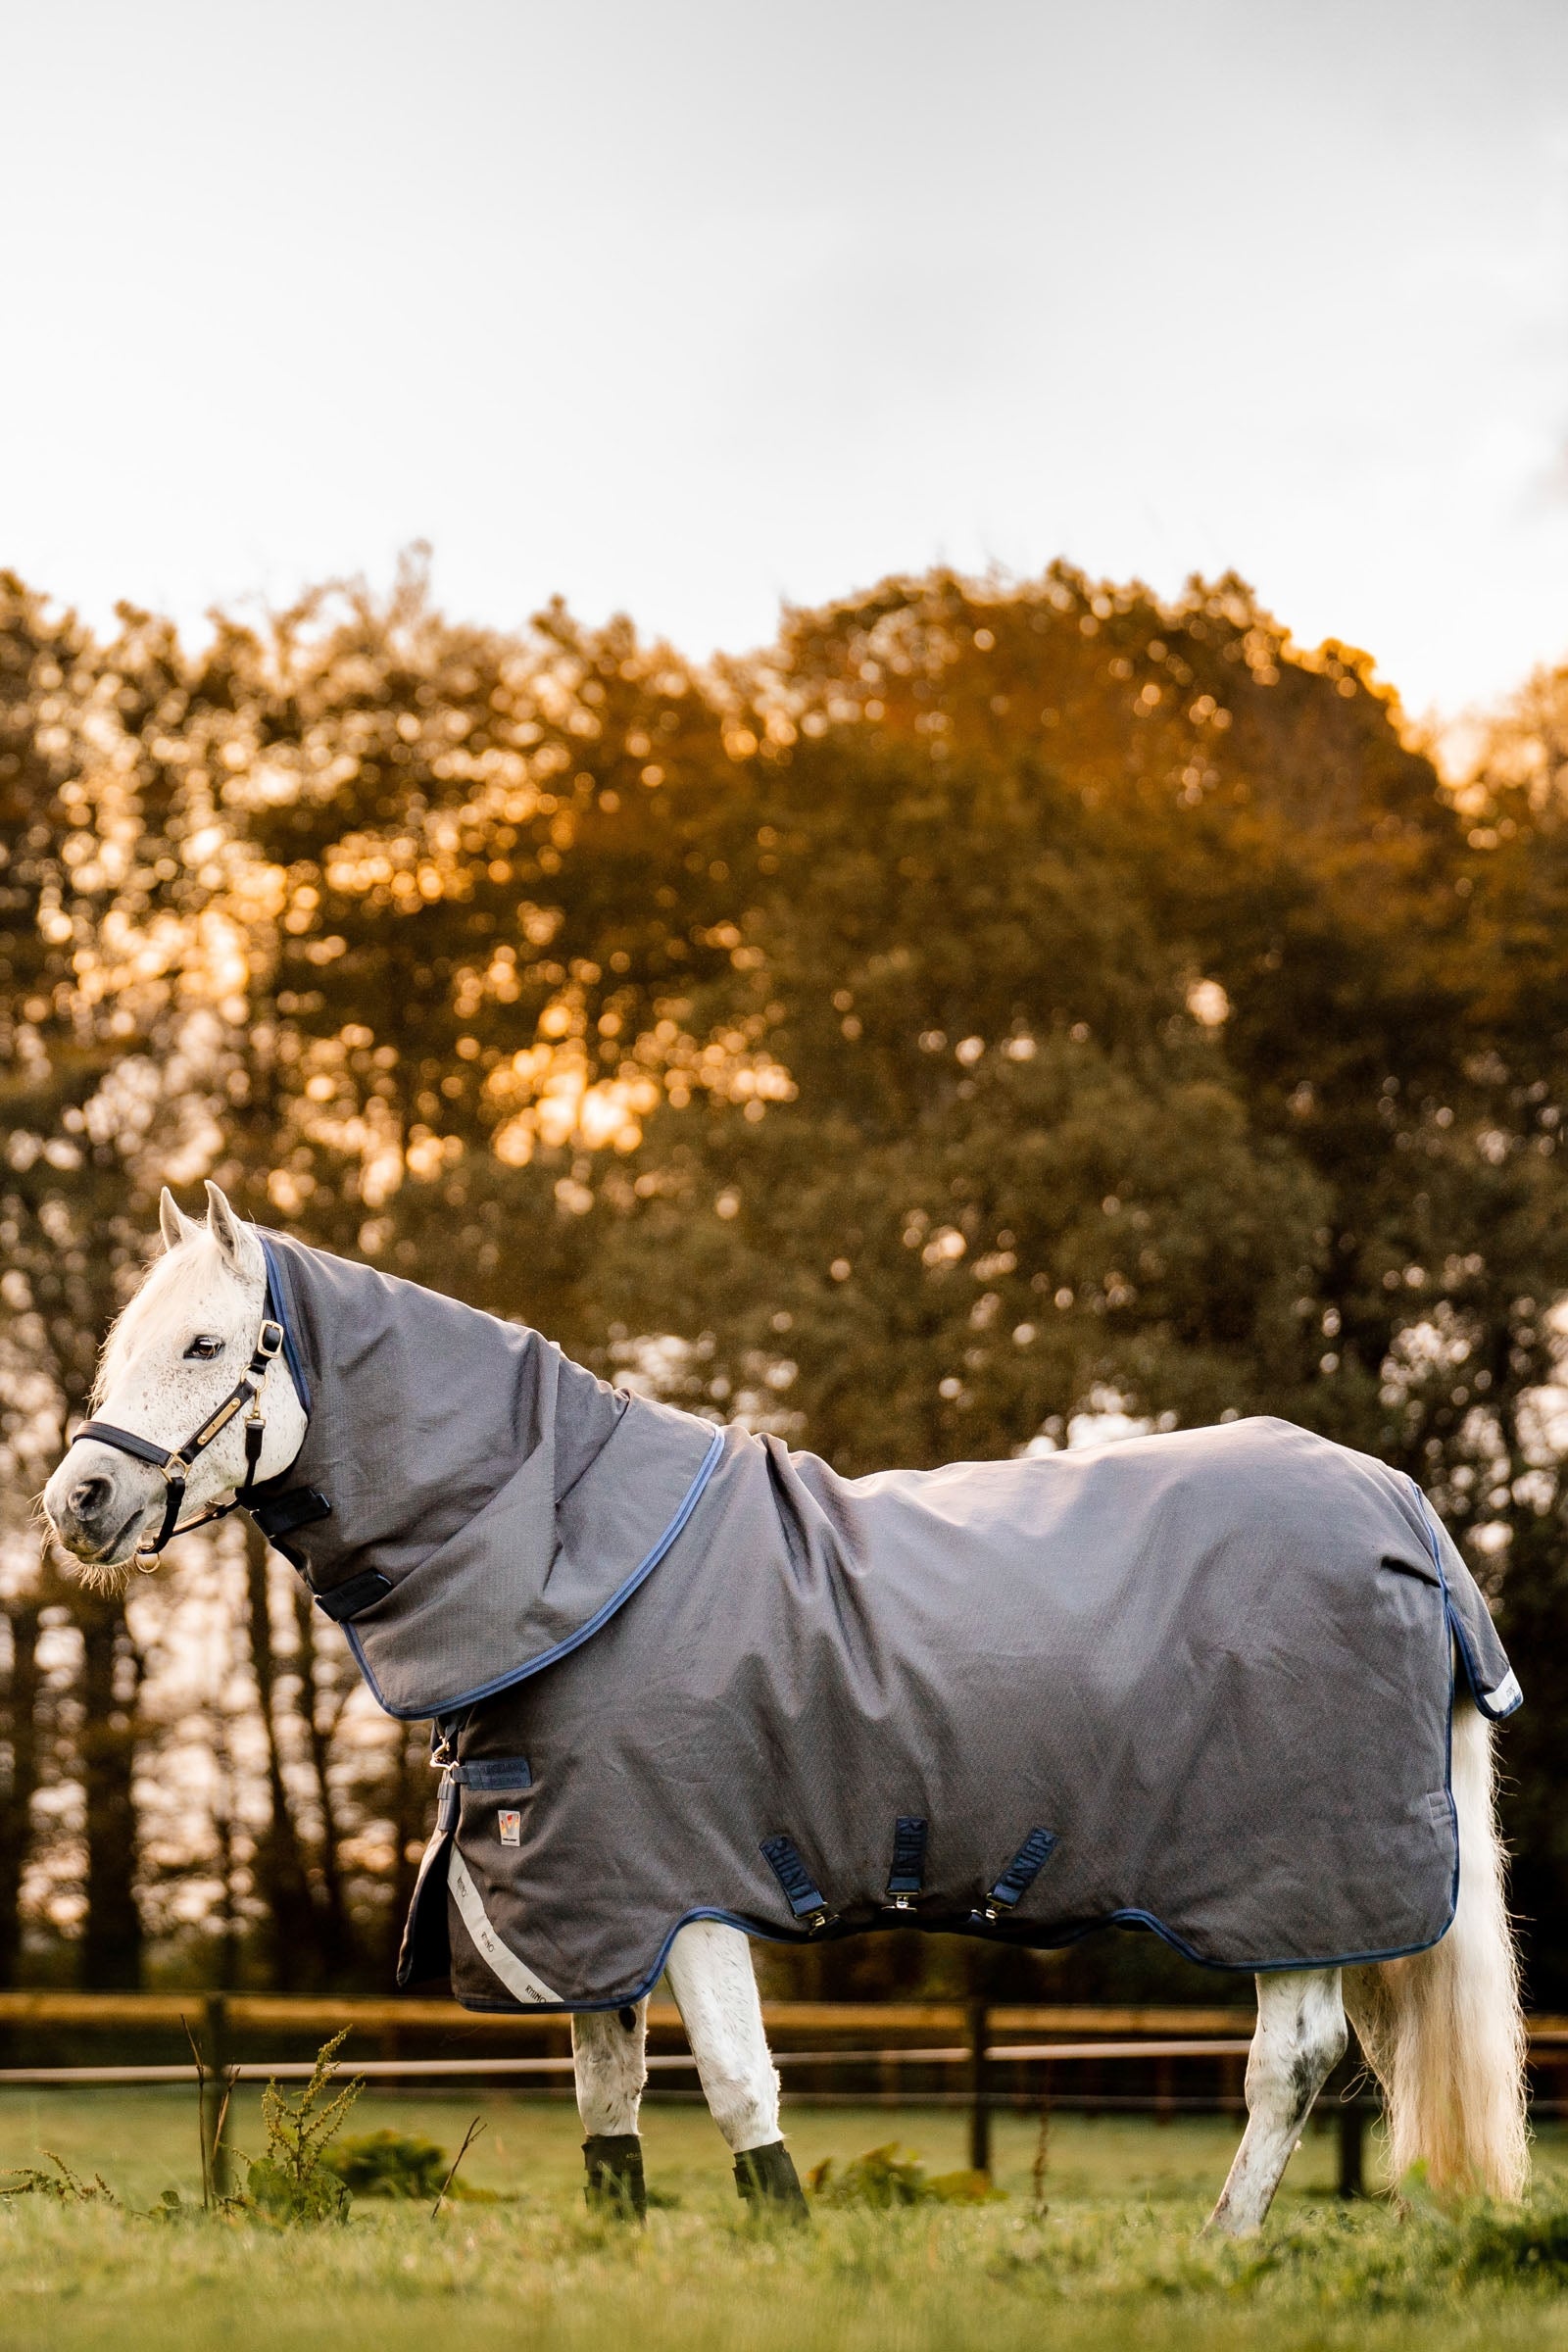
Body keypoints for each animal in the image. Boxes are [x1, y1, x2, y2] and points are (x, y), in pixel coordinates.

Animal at [42, 1182, 1530, 2232]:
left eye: (207, 1343)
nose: (78, 1501)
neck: (577, 1556)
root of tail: (1400, 1509)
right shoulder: (595, 1894)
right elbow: (608, 2099)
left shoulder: (692, 1879)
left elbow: (737, 2082)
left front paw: (789, 2234)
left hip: (1298, 1892)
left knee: (1290, 2063)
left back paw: (1223, 2242)